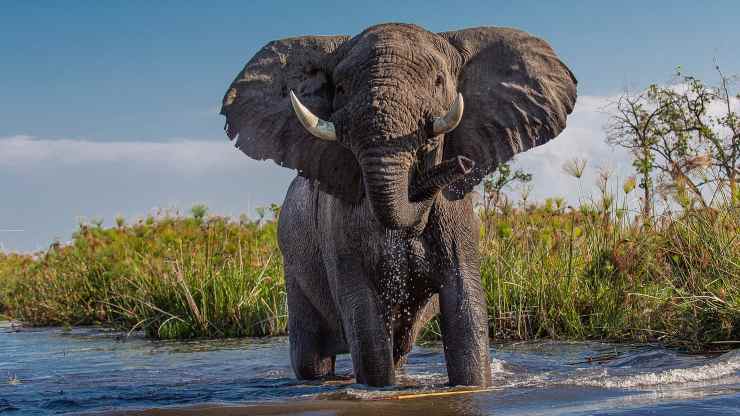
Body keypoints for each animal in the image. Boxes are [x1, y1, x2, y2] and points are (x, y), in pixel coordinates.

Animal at [220, 23, 576, 387]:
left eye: (438, 81)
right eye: (341, 88)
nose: (461, 163)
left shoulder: (458, 219)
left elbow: (466, 307)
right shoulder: (339, 228)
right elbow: (364, 318)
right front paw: (378, 390)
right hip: (293, 262)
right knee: (312, 358)